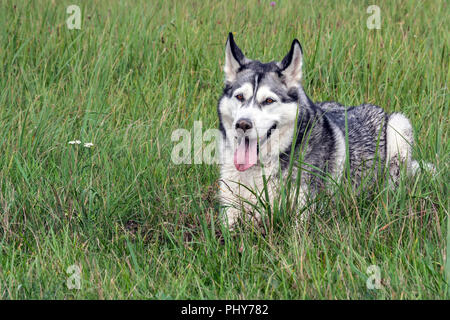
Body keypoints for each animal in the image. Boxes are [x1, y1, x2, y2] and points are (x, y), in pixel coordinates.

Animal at [218, 33, 428, 230]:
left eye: (268, 100)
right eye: (239, 96)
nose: (243, 124)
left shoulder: (301, 218)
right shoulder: (229, 211)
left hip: (399, 125)